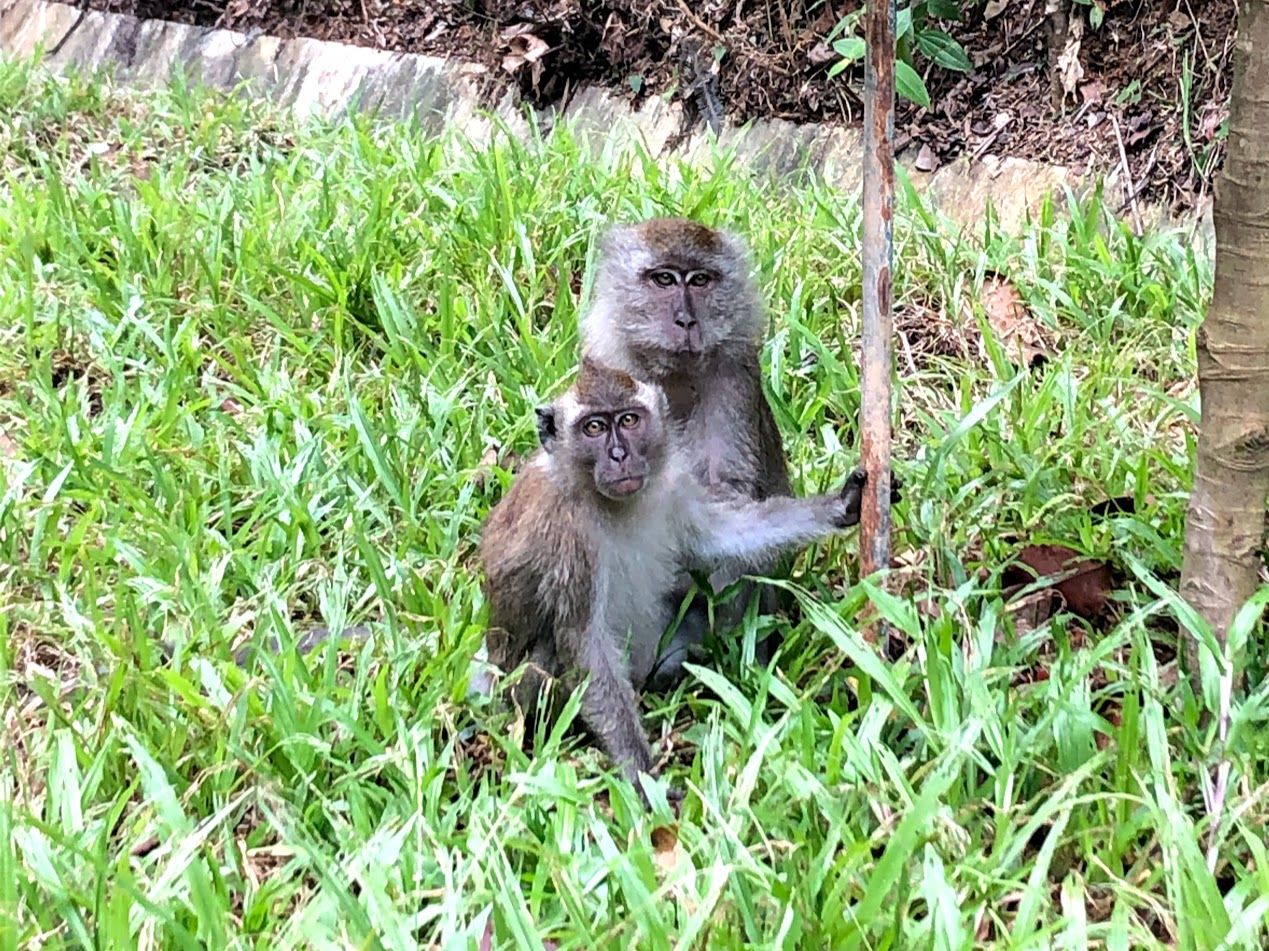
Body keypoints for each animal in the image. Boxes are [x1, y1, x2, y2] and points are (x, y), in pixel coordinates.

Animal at [479, 358, 871, 804]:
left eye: (629, 420)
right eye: (593, 427)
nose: (619, 455)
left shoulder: (673, 485)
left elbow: (721, 534)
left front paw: (840, 505)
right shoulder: (566, 535)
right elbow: (584, 642)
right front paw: (644, 778)